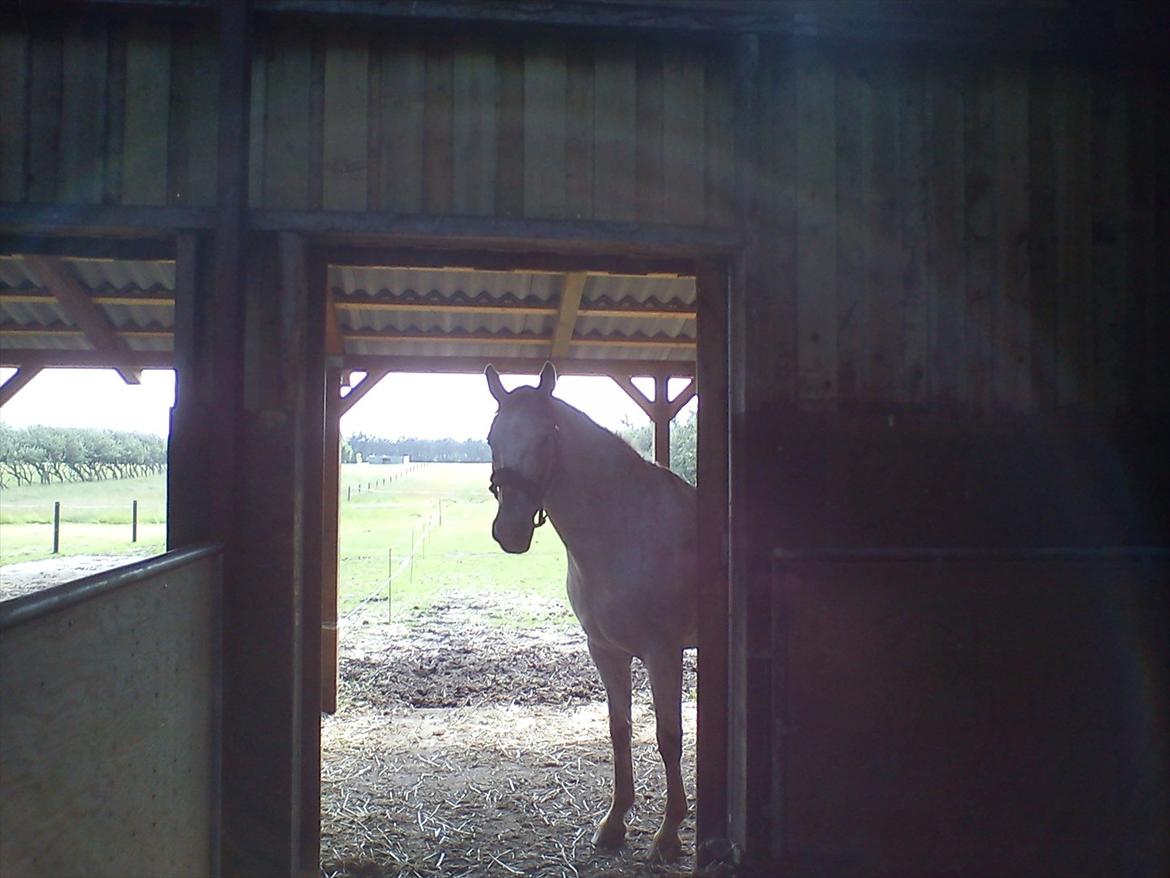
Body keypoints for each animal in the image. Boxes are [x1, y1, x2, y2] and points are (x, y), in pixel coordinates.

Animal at [482, 360, 697, 861]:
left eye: (547, 436)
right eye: (491, 438)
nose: (511, 530)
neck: (625, 526)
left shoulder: (663, 653)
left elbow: (668, 735)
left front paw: (668, 834)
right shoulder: (605, 651)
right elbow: (620, 730)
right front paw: (614, 824)